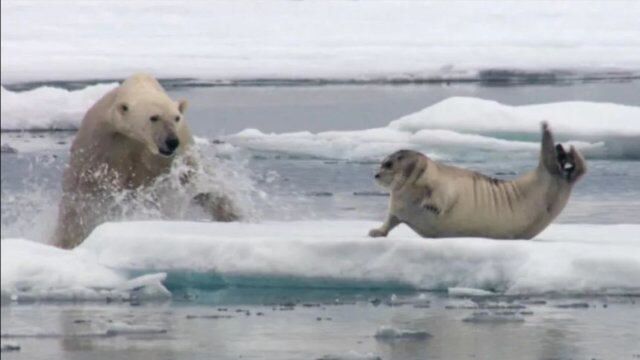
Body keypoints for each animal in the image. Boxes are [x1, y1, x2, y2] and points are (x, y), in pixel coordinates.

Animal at [53, 73, 239, 248]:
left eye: (176, 117)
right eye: (154, 117)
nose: (171, 141)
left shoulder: (174, 154)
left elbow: (197, 180)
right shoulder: (99, 143)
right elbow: (81, 194)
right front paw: (68, 241)